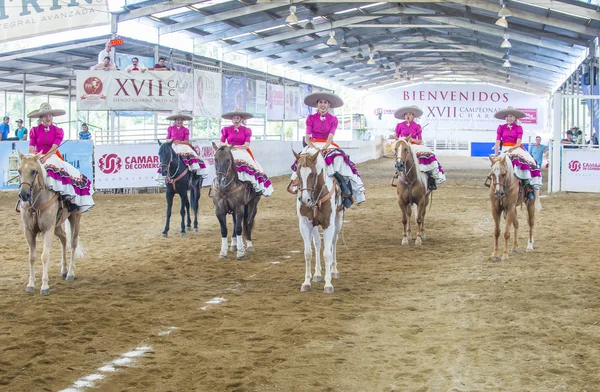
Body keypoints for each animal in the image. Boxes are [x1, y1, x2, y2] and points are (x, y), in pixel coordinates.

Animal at [17, 152, 84, 296]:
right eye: (19, 171)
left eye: (33, 171)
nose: (24, 195)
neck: (37, 204)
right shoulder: (29, 231)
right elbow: (31, 257)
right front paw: (30, 284)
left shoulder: (48, 229)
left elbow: (45, 256)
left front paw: (44, 286)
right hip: (57, 226)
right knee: (64, 238)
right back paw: (64, 270)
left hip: (75, 218)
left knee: (73, 243)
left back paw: (70, 273)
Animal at [294, 150, 344, 294]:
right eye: (298, 173)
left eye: (313, 174)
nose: (305, 200)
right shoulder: (305, 225)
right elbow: (308, 253)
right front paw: (306, 282)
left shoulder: (328, 225)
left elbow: (327, 253)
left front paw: (328, 284)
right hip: (315, 226)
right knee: (317, 243)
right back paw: (316, 274)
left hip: (337, 222)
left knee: (333, 243)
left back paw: (334, 270)